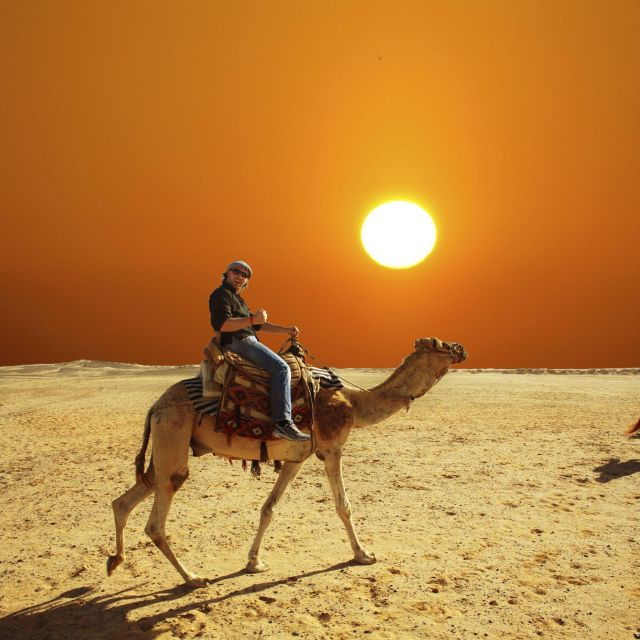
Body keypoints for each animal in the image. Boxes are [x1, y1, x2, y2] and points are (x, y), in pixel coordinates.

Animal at [107, 337, 467, 587]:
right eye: (440, 343)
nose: (462, 347)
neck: (355, 403)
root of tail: (155, 405)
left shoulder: (297, 458)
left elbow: (269, 508)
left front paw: (254, 563)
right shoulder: (332, 448)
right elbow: (343, 506)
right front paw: (363, 554)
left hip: (166, 447)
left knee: (126, 499)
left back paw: (115, 560)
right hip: (173, 434)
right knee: (158, 516)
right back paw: (193, 578)